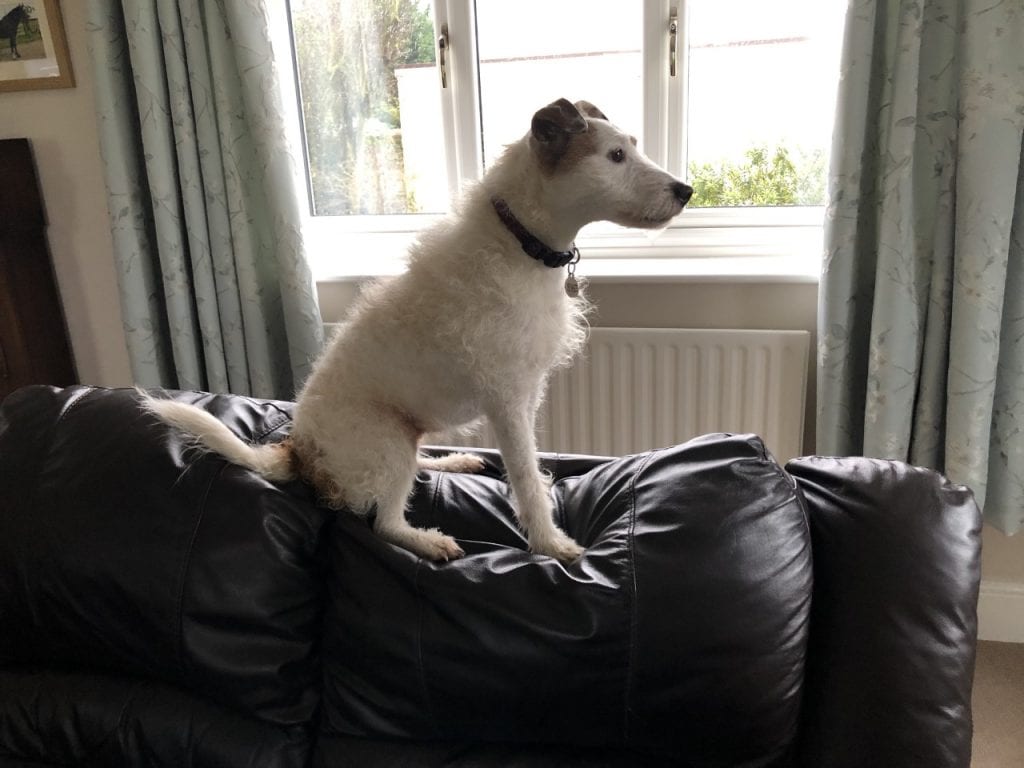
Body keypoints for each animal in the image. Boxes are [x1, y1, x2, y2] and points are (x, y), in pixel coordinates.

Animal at [144, 99, 692, 561]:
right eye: (615, 155)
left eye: (632, 146)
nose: (685, 191)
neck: (521, 242)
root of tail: (299, 453)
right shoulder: (507, 402)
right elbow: (524, 478)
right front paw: (551, 543)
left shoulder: (527, 393)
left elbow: (529, 468)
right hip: (387, 445)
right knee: (385, 522)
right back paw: (428, 541)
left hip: (407, 437)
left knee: (417, 465)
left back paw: (454, 464)